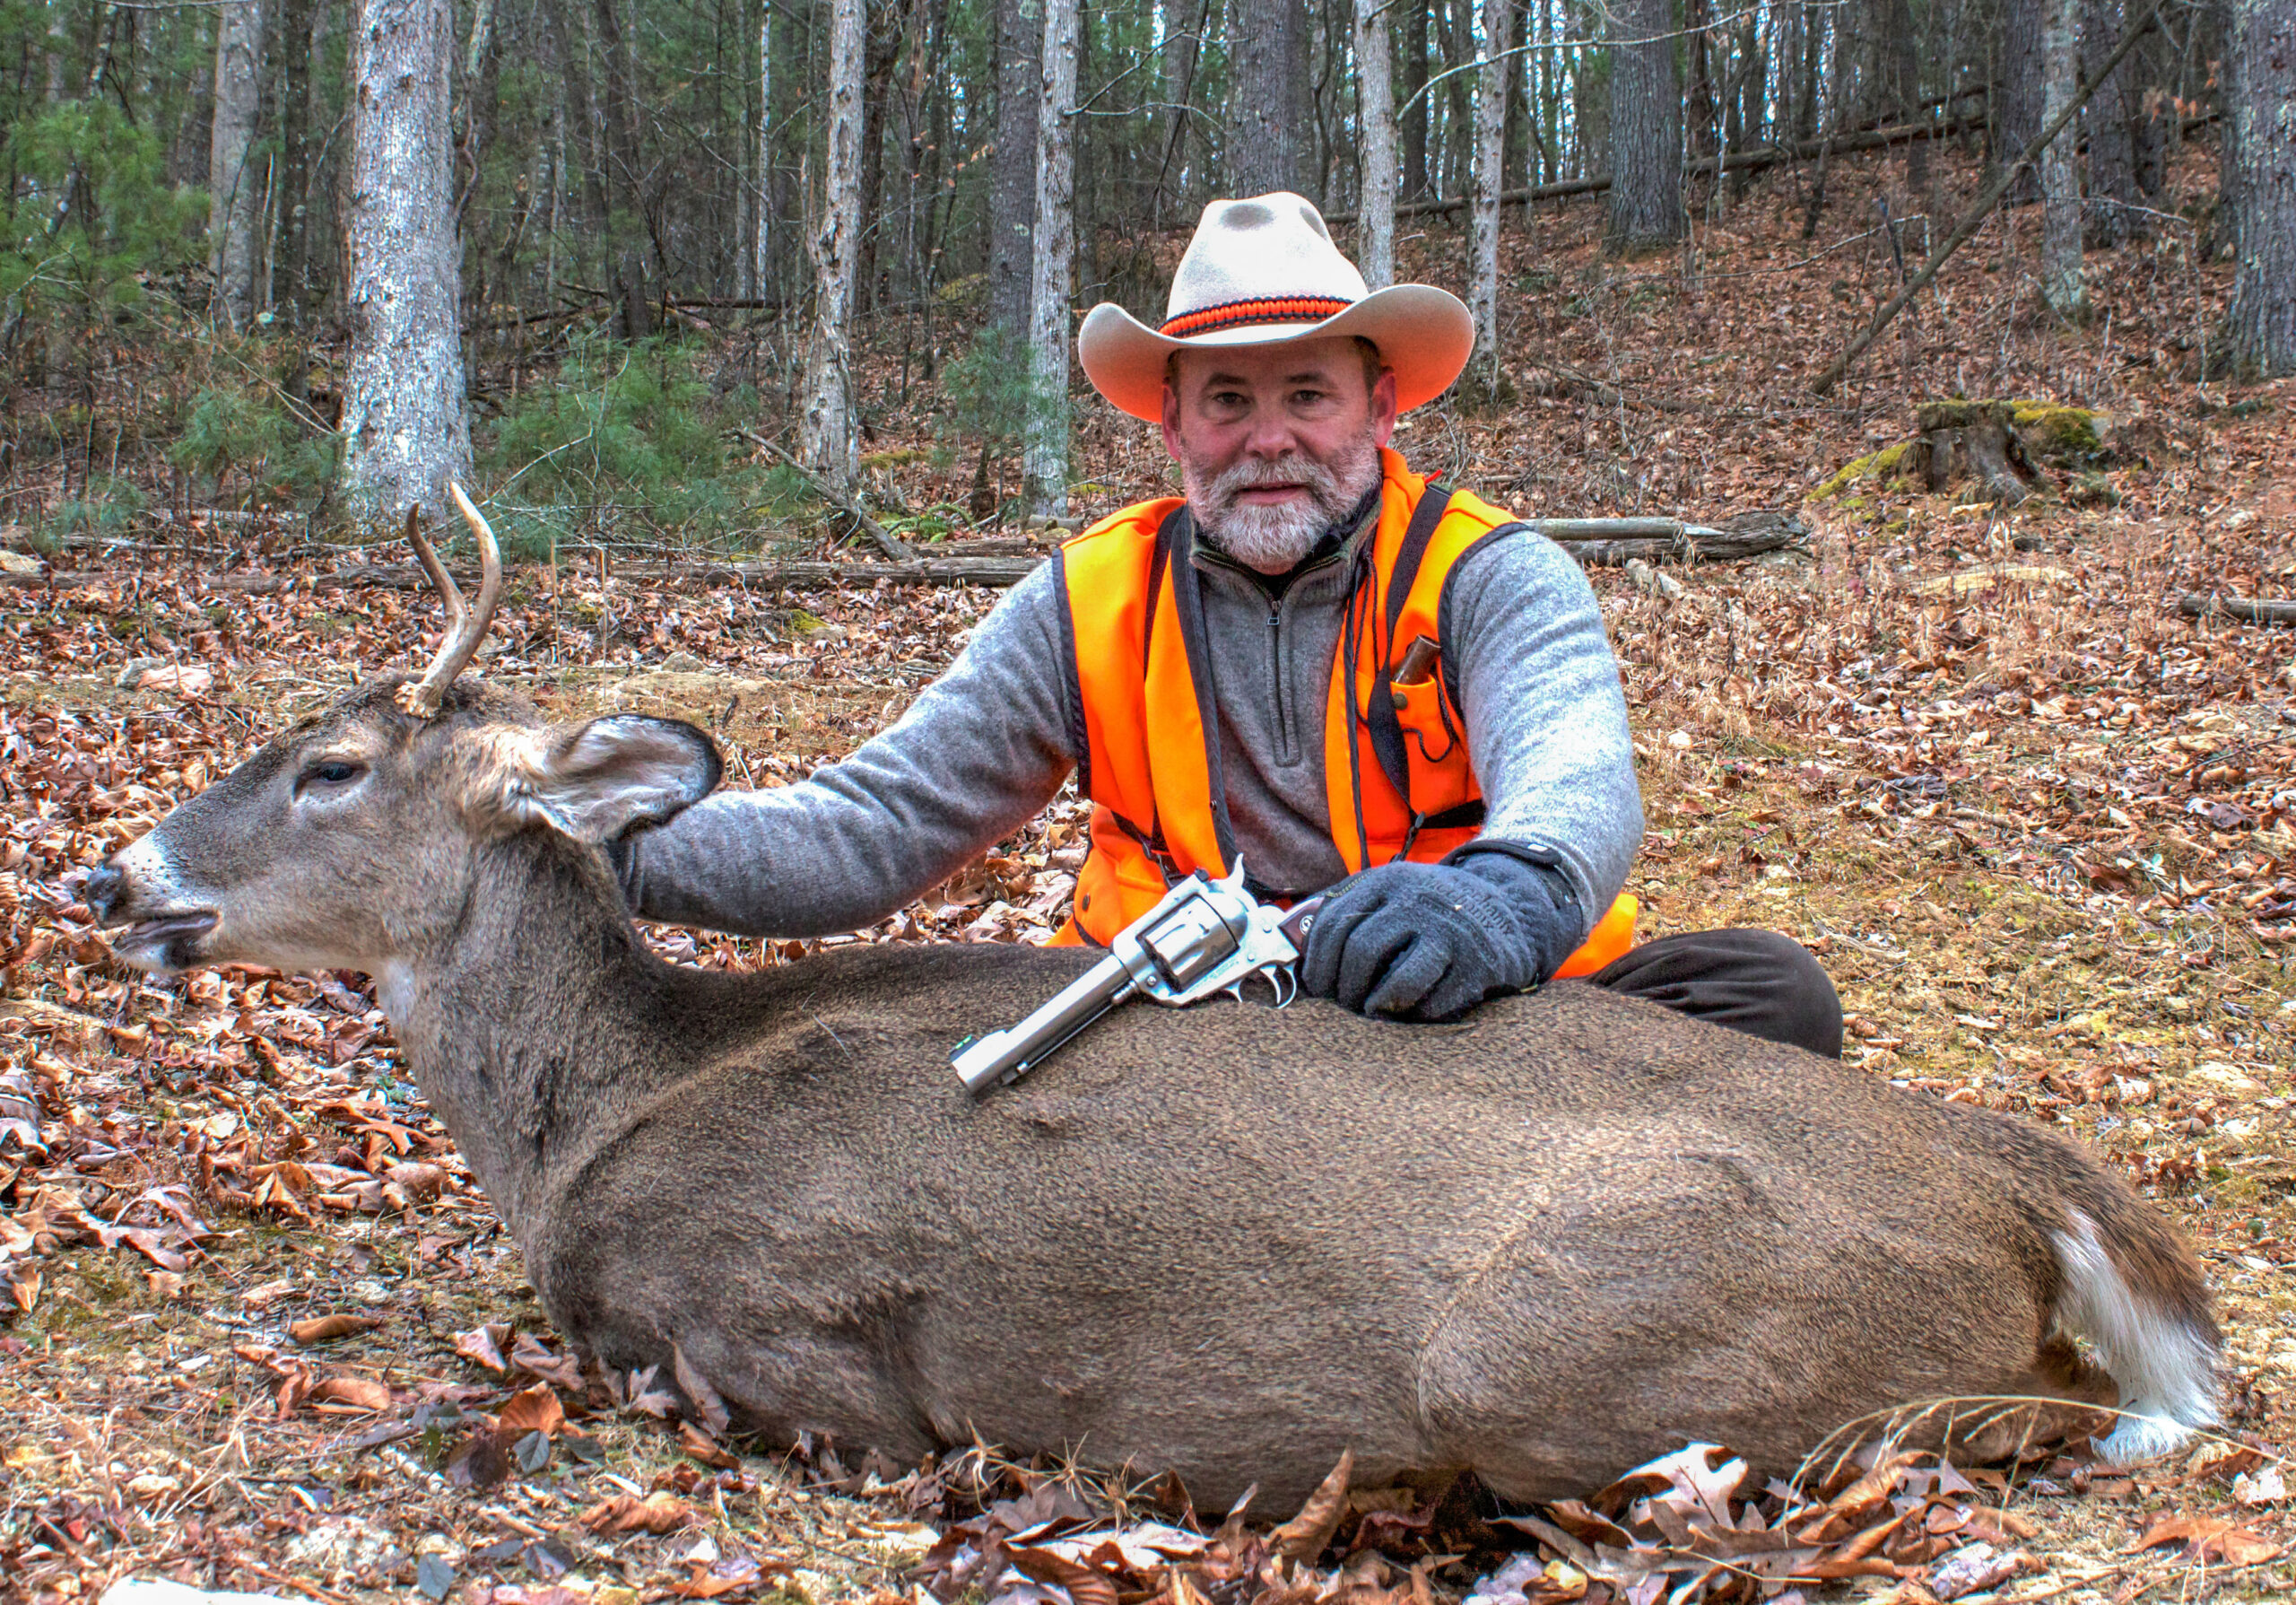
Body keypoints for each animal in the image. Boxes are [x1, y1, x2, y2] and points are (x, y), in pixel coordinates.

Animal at [84, 489, 2220, 1511]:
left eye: (330, 768)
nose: (112, 876)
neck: (596, 1115)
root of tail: (2037, 1186)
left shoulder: (779, 1342)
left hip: (1556, 1337)